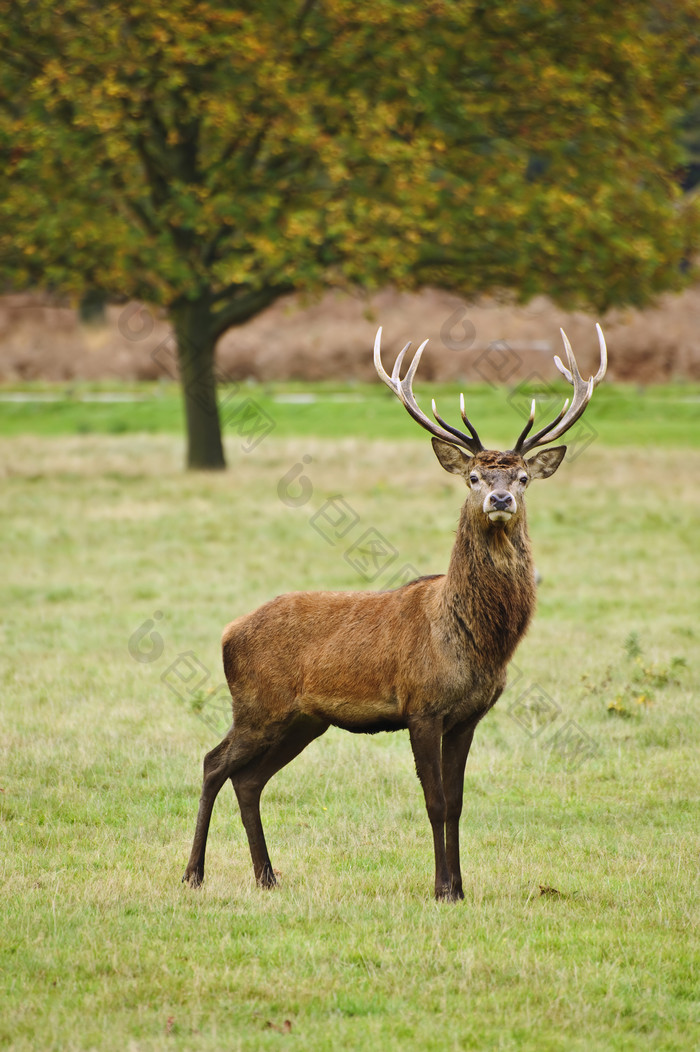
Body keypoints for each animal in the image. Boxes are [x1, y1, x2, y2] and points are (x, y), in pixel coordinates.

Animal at [184, 324, 606, 900]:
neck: (474, 642)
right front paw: (442, 888)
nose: (499, 499)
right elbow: (434, 801)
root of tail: (228, 632)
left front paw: (460, 887)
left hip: (302, 720)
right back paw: (194, 874)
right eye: (474, 478)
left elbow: (458, 802)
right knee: (213, 764)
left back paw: (267, 877)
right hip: (257, 704)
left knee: (248, 779)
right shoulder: (421, 706)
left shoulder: (468, 715)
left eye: (522, 478)